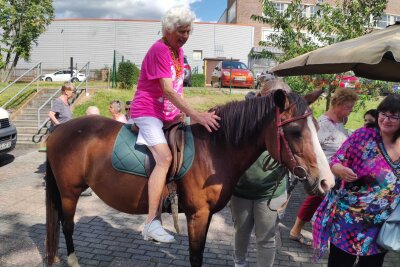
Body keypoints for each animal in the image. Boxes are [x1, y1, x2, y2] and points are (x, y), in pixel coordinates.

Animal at [45, 89, 336, 266]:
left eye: (316, 127)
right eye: (296, 131)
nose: (327, 181)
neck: (216, 148)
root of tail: (58, 131)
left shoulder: (203, 216)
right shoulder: (198, 214)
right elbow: (196, 256)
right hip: (70, 192)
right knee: (67, 225)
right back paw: (72, 259)